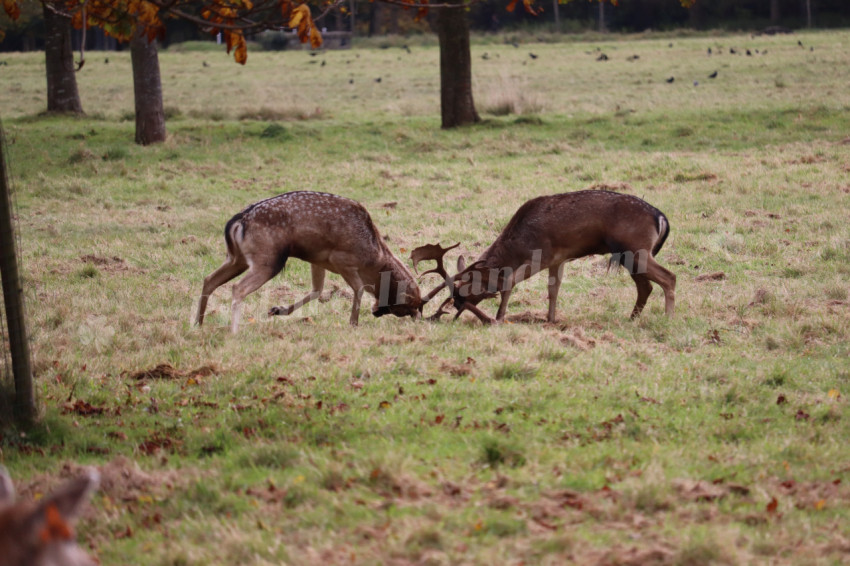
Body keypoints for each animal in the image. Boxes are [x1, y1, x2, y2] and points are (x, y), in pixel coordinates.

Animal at [194, 192, 422, 332]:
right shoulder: (342, 260)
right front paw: (353, 324)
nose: (418, 318)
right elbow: (358, 289)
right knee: (237, 288)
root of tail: (237, 221)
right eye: (408, 305)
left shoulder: (317, 259)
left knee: (209, 279)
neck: (374, 259)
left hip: (236, 258)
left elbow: (316, 290)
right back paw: (234, 332)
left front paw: (277, 310)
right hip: (268, 260)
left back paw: (198, 324)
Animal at [410, 190, 676, 324]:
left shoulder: (543, 254)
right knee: (646, 286)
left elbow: (510, 282)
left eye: (465, 288)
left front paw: (499, 317)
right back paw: (631, 318)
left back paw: (668, 318)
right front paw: (550, 319)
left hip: (636, 249)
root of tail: (661, 217)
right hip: (629, 255)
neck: (518, 244)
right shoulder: (559, 259)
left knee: (669, 277)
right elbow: (553, 289)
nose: (456, 305)